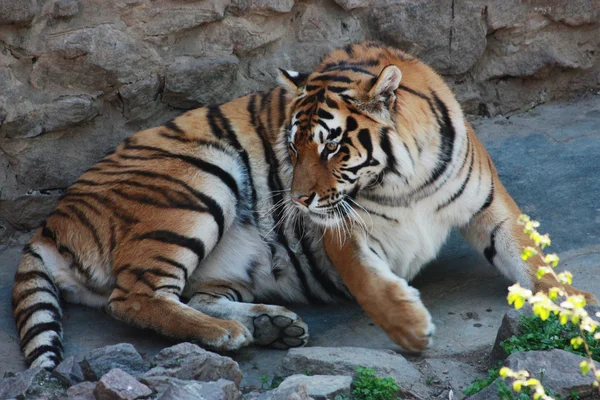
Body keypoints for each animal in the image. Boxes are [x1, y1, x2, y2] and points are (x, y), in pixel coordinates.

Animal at [12, 40, 596, 368]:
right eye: (292, 146)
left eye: (333, 146)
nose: (296, 199)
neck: (401, 179)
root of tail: (48, 225)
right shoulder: (342, 228)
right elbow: (369, 283)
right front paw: (411, 330)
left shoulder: (489, 206)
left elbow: (536, 262)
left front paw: (580, 309)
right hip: (196, 182)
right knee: (134, 296)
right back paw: (227, 334)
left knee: (191, 293)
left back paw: (271, 325)